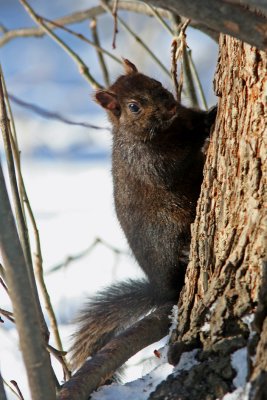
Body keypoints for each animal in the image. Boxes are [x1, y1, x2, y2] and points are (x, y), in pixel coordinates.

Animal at [69, 58, 218, 368]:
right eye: (133, 106)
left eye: (156, 82)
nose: (170, 105)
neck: (168, 128)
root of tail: (159, 289)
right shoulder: (147, 161)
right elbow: (173, 164)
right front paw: (207, 124)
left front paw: (207, 114)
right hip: (167, 232)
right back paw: (185, 253)